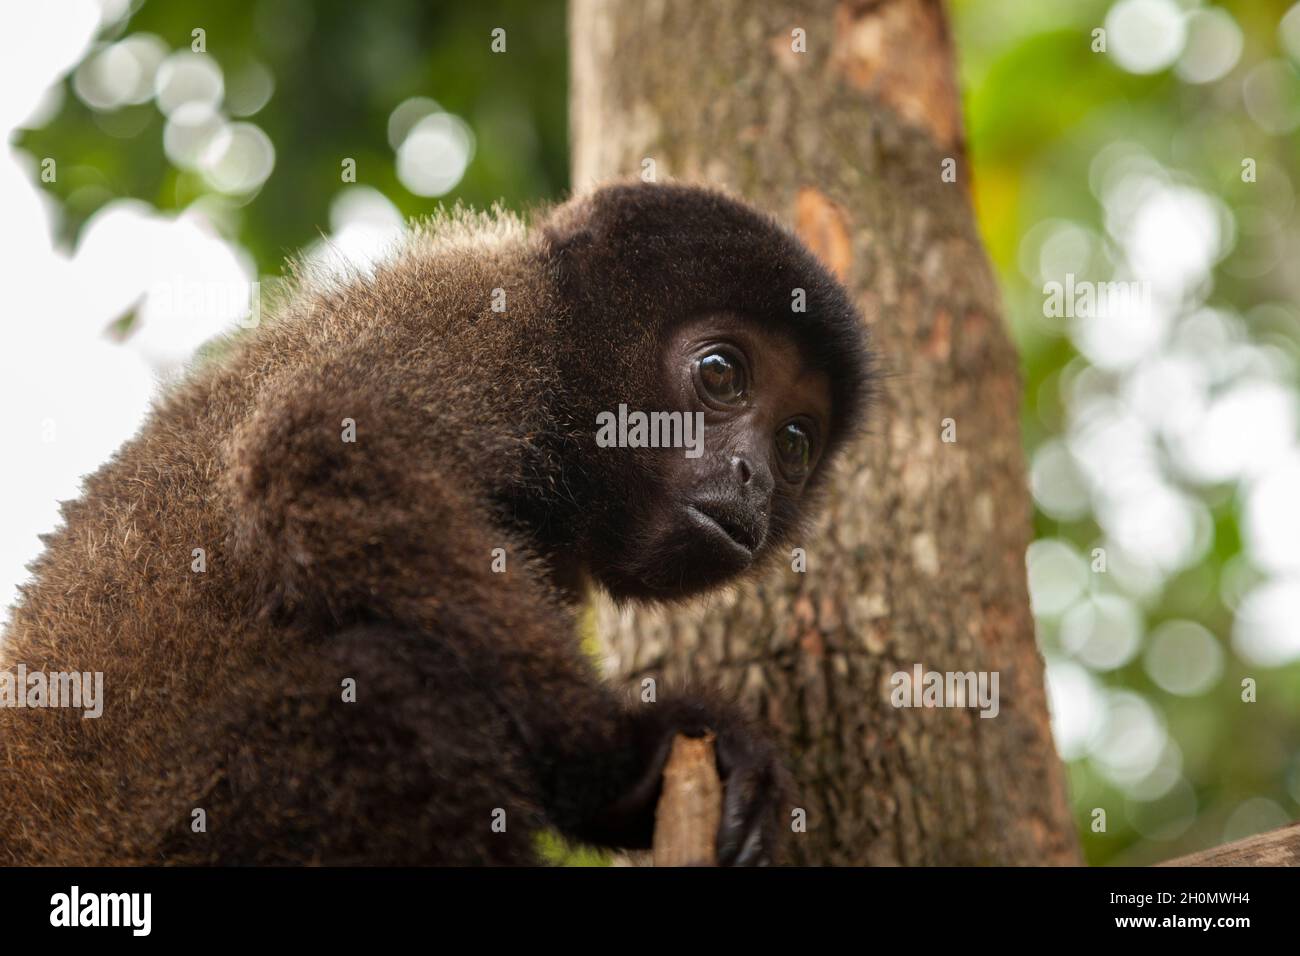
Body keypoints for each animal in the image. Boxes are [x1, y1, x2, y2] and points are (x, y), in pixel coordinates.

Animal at [0, 181, 873, 866]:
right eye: (721, 373)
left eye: (796, 442)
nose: (754, 475)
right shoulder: (479, 328)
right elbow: (321, 447)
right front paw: (624, 753)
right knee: (395, 685)